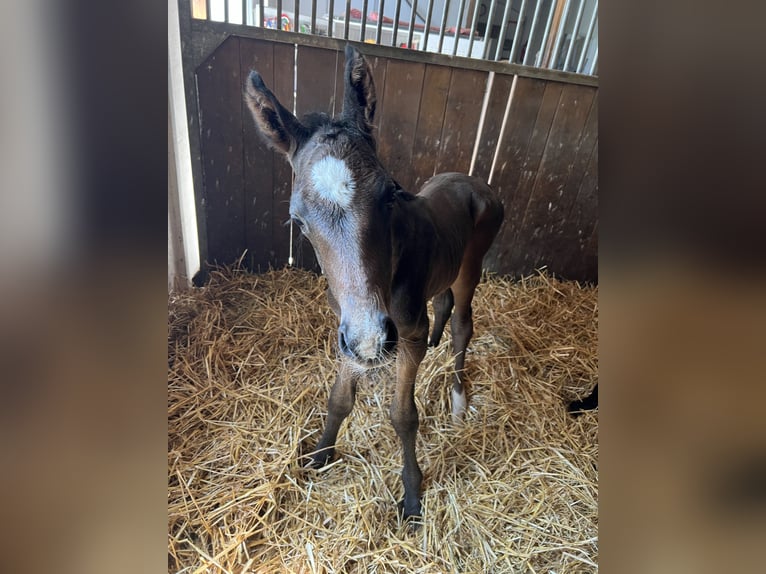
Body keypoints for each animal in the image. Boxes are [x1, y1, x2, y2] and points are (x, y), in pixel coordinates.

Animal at [244, 45, 504, 520]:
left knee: (463, 323)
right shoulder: (349, 332)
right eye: (298, 220)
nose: (372, 340)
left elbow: (403, 415)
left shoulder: (403, 335)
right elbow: (339, 399)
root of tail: (476, 182)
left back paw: (459, 398)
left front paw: (413, 494)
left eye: (389, 194)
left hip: (469, 270)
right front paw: (319, 455)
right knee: (440, 305)